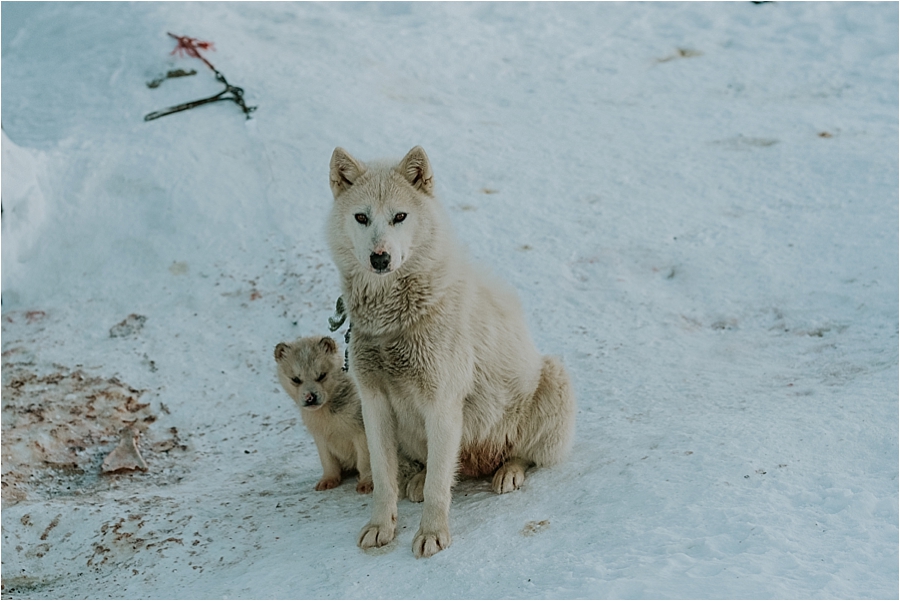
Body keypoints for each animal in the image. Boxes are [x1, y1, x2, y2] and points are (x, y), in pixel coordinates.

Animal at [326, 145, 572, 556]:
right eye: (361, 217)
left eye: (399, 217)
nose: (380, 257)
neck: (393, 321)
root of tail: (478, 461)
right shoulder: (374, 405)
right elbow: (384, 479)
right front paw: (381, 527)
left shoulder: (442, 405)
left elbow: (439, 488)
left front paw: (431, 535)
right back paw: (418, 478)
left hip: (552, 379)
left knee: (525, 455)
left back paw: (508, 472)